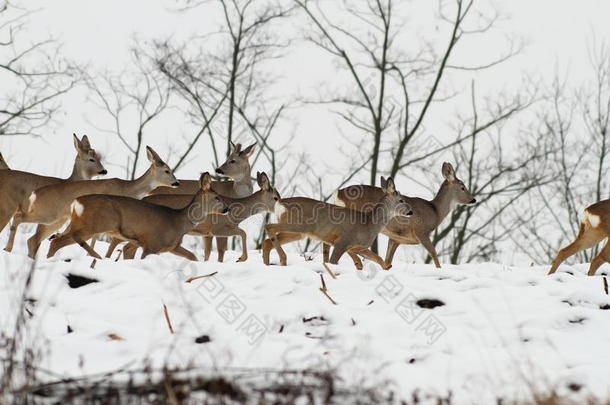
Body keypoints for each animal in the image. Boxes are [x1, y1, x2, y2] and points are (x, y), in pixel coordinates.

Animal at [11, 147, 178, 258]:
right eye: (167, 171)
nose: (176, 183)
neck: (127, 189)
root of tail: (34, 194)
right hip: (48, 215)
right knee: (22, 222)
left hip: (55, 220)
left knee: (33, 239)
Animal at [47, 171, 230, 258]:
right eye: (217, 197)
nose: (227, 209)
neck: (179, 221)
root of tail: (76, 202)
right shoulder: (152, 244)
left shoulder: (170, 246)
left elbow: (193, 257)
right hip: (98, 223)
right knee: (70, 238)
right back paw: (96, 256)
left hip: (80, 223)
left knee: (57, 240)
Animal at [114, 170, 280, 258]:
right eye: (276, 197)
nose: (281, 207)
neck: (237, 212)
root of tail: (144, 198)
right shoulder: (218, 228)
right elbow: (242, 233)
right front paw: (241, 259)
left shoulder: (207, 233)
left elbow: (207, 254)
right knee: (128, 247)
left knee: (128, 248)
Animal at [258, 176, 410, 268]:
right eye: (401, 200)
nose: (410, 211)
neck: (369, 224)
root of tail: (280, 203)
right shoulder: (342, 242)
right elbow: (333, 262)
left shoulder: (357, 247)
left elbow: (377, 260)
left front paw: (387, 268)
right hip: (297, 225)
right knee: (269, 227)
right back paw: (283, 259)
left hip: (297, 232)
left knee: (267, 242)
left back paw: (268, 263)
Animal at [332, 161, 476, 268]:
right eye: (462, 187)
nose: (473, 199)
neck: (435, 211)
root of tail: (338, 193)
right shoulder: (421, 231)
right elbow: (434, 253)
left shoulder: (396, 238)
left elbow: (388, 259)